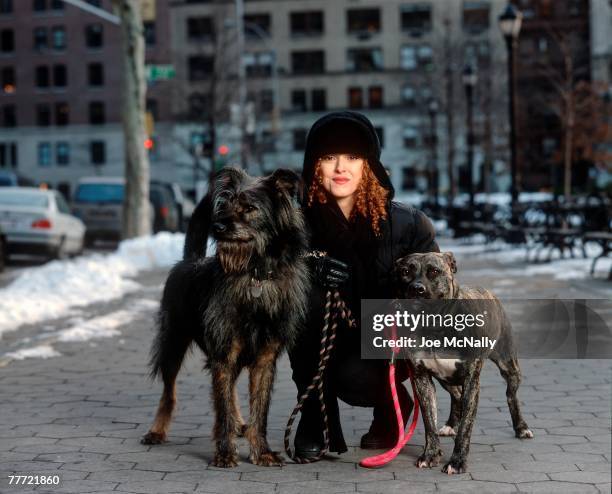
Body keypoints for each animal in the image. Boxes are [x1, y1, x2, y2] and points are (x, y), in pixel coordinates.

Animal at [143, 167, 310, 466]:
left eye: (250, 208)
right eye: (225, 205)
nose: (218, 227)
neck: (254, 274)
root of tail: (190, 260)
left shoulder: (264, 359)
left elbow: (260, 410)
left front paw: (261, 450)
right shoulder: (223, 352)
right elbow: (220, 407)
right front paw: (223, 452)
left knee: (229, 389)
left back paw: (240, 424)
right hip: (173, 342)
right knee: (169, 392)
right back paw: (157, 430)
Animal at [392, 251, 532, 474]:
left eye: (434, 271)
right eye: (405, 272)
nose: (416, 288)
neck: (434, 326)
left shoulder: (471, 381)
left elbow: (466, 428)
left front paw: (457, 461)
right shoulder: (422, 379)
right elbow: (429, 421)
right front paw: (430, 454)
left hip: (509, 366)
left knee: (511, 395)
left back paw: (521, 427)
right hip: (446, 379)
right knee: (456, 395)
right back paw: (451, 424)